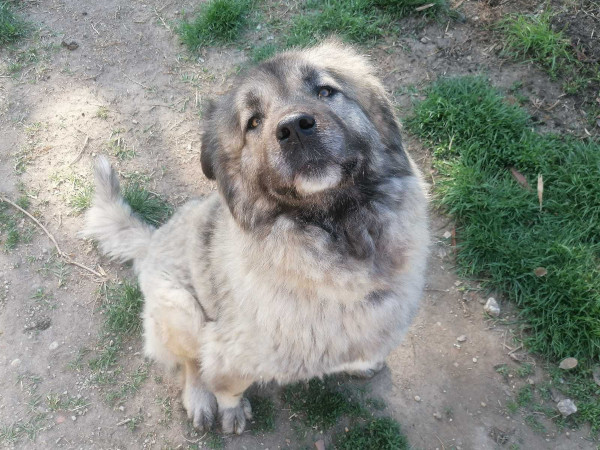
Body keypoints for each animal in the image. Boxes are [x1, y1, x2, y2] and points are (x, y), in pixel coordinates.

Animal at [83, 41, 429, 435]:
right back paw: (198, 398)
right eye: (253, 122)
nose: (294, 127)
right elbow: (226, 385)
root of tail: (152, 240)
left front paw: (361, 363)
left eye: (326, 91)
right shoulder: (230, 353)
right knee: (190, 363)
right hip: (181, 309)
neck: (339, 243)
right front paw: (231, 409)